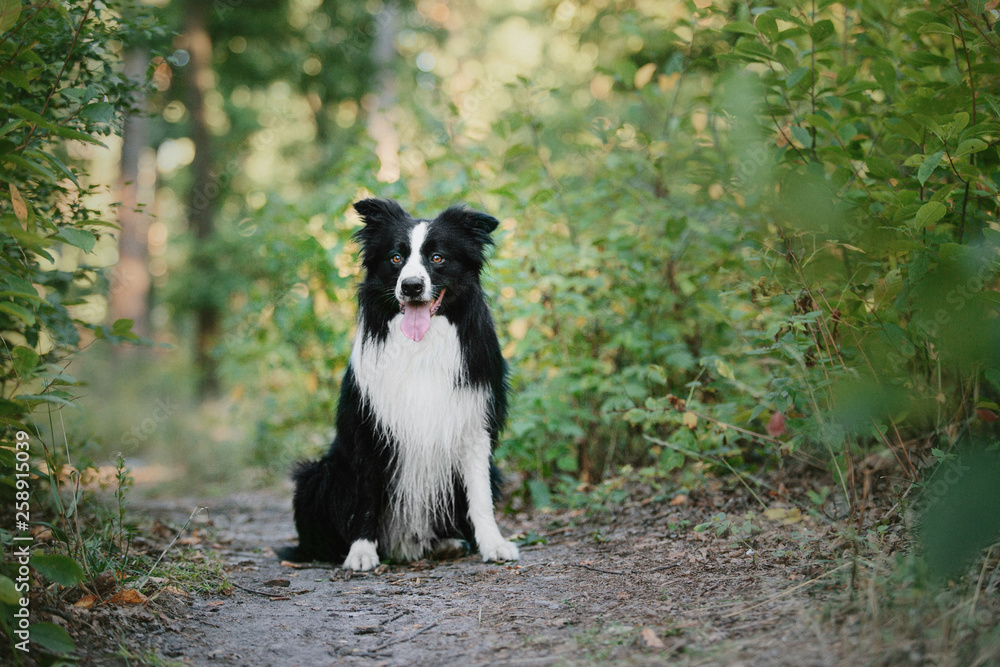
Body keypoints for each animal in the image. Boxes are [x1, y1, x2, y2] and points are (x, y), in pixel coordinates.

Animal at [280, 196, 520, 572]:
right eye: (395, 257)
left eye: (437, 258)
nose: (411, 286)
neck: (420, 346)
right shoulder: (370, 429)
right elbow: (366, 497)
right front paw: (361, 552)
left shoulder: (473, 426)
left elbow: (480, 497)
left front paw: (494, 544)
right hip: (316, 475)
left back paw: (448, 542)